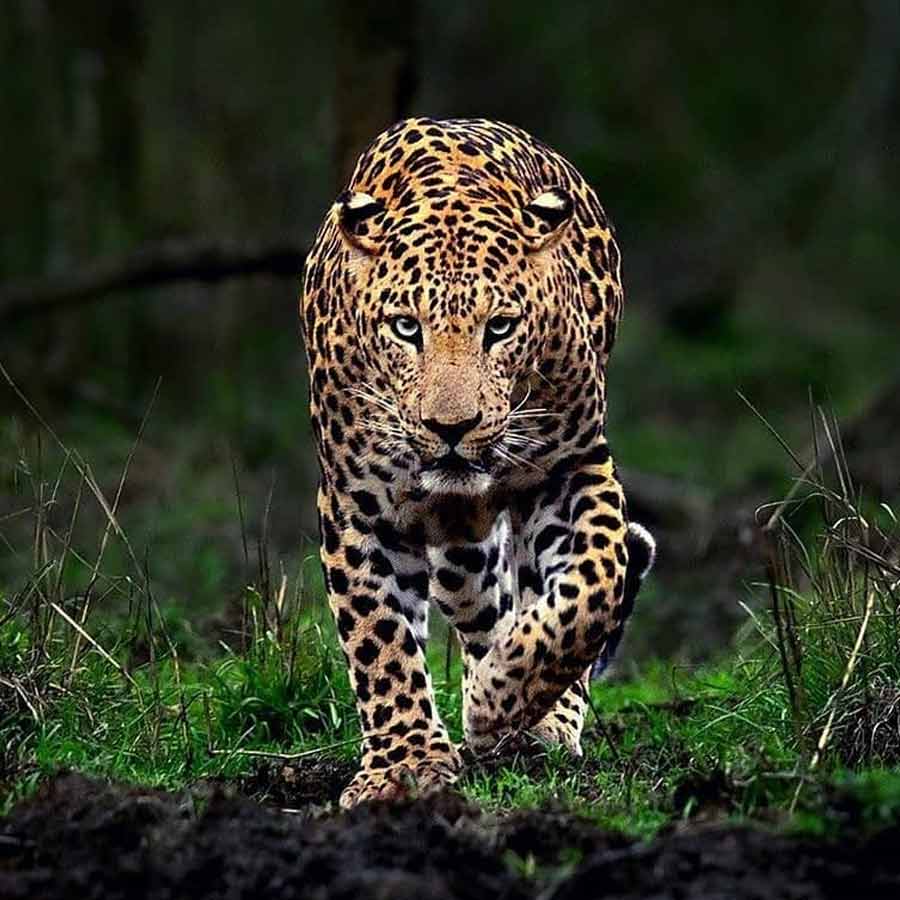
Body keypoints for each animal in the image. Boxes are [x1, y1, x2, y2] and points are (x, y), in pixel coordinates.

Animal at [300, 117, 655, 808]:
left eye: (500, 327)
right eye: (405, 327)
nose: (451, 428)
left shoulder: (572, 466)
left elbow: (595, 584)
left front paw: (501, 699)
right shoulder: (357, 503)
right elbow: (379, 638)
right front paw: (404, 766)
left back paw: (534, 718)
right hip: (460, 551)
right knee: (482, 606)